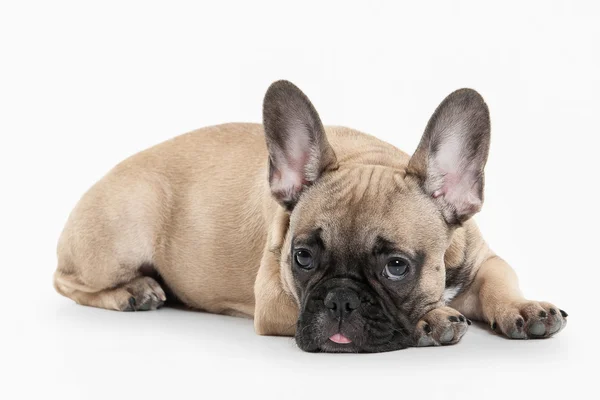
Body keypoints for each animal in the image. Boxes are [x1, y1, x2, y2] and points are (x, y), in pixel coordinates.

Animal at [52, 79, 568, 352]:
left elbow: (501, 283)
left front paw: (525, 308)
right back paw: (133, 292)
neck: (370, 159)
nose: (340, 300)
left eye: (396, 266)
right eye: (302, 257)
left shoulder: (482, 259)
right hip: (124, 230)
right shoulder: (272, 298)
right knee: (68, 282)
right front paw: (433, 319)